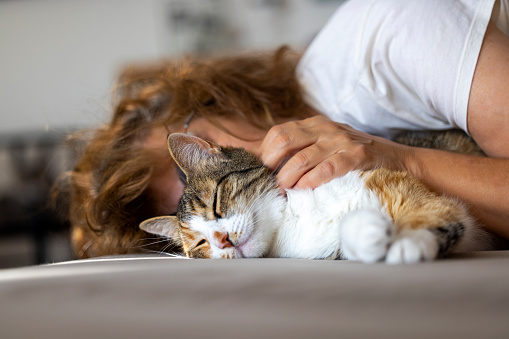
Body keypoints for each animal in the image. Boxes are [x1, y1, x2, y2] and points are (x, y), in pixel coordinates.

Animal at [141, 131, 490, 264]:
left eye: (214, 202)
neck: (292, 222)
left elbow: (431, 209)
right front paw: (369, 233)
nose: (222, 240)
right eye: (201, 245)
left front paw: (410, 242)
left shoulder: (410, 190)